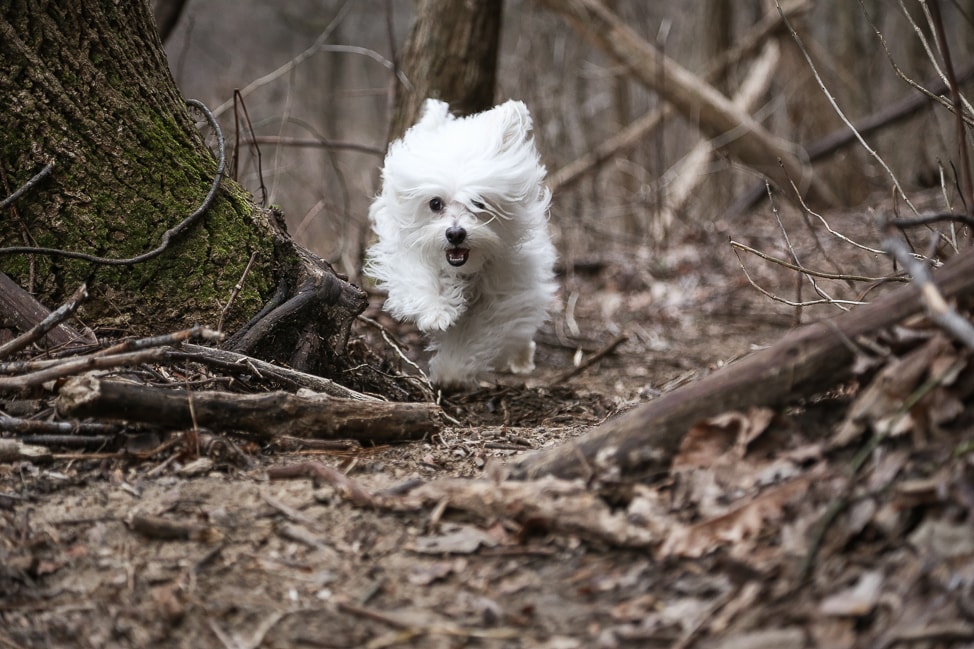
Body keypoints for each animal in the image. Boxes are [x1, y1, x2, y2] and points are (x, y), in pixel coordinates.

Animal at [370, 98, 560, 388]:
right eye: (435, 203)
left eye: (478, 203)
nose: (455, 234)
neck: (465, 269)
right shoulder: (408, 250)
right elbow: (422, 277)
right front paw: (436, 311)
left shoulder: (501, 293)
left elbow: (478, 331)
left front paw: (452, 371)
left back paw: (522, 358)